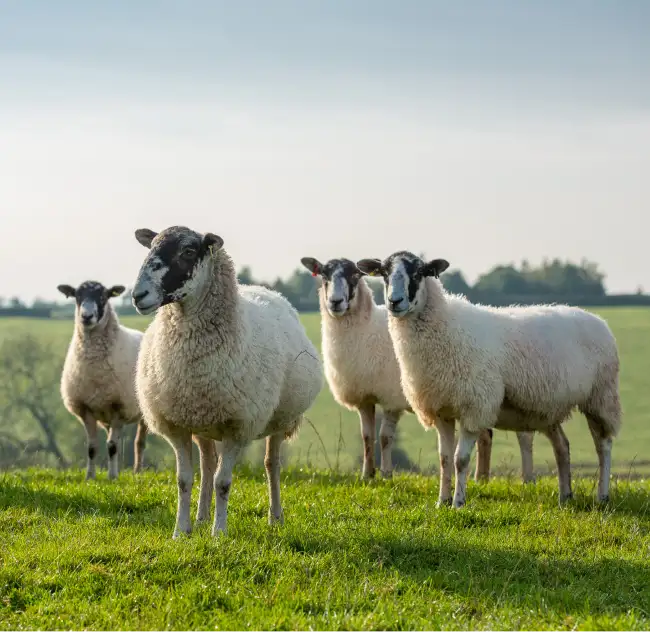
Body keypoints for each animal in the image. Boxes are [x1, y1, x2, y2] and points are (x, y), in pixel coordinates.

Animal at [57, 282, 148, 478]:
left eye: (103, 297)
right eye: (77, 296)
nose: (86, 316)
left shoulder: (119, 407)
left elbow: (112, 446)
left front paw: (112, 477)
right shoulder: (86, 409)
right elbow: (92, 447)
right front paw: (90, 477)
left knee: (139, 443)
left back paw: (137, 472)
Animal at [131, 226, 322, 540]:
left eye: (188, 251)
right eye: (151, 247)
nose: (138, 295)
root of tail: (266, 290)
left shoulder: (238, 426)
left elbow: (224, 482)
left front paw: (219, 533)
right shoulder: (177, 424)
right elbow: (184, 480)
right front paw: (181, 531)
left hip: (278, 419)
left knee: (271, 464)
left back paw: (275, 517)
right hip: (203, 421)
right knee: (208, 464)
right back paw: (200, 518)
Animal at [302, 254, 536, 482]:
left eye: (354, 277)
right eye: (324, 276)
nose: (335, 302)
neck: (364, 328)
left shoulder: (392, 398)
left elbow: (384, 437)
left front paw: (386, 475)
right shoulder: (364, 397)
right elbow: (367, 437)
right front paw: (367, 476)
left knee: (522, 435)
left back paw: (522, 479)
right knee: (486, 435)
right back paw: (482, 479)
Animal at [356, 252, 620, 508]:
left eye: (419, 273)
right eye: (384, 273)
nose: (395, 301)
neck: (444, 327)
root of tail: (597, 319)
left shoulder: (474, 408)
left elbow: (460, 460)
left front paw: (458, 503)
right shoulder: (441, 410)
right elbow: (444, 459)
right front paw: (441, 501)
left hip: (601, 396)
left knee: (603, 445)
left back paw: (603, 496)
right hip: (548, 410)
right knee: (562, 446)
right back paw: (565, 496)